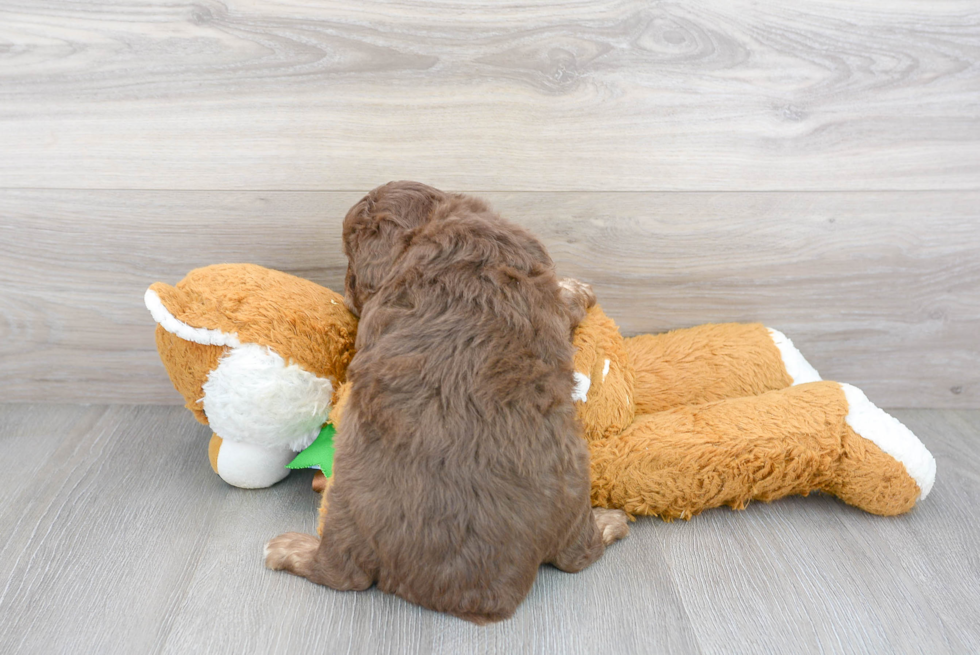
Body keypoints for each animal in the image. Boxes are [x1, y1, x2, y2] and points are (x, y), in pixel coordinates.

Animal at [264, 182, 628, 624]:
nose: (347, 290)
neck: (437, 224)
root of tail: (482, 593)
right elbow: (564, 298)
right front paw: (581, 289)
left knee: (341, 572)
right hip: (573, 493)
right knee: (580, 554)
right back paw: (612, 521)